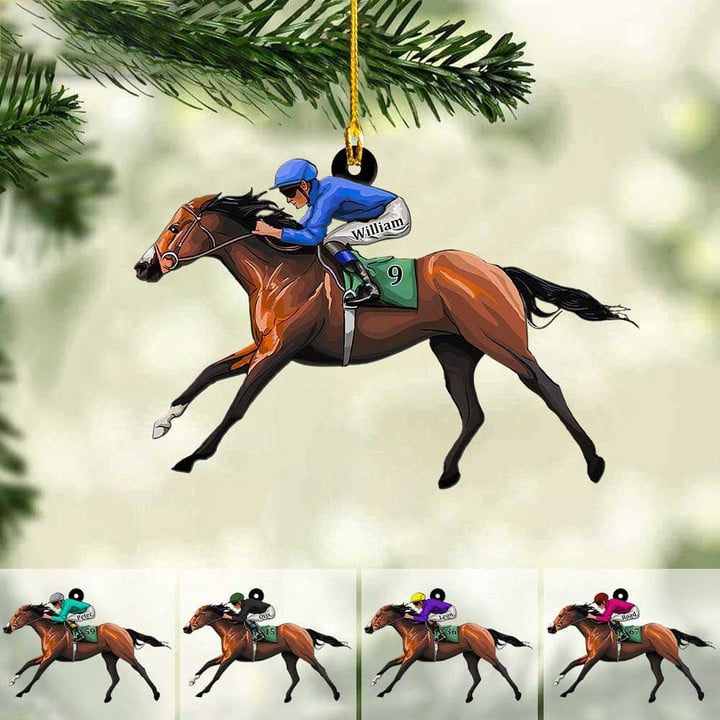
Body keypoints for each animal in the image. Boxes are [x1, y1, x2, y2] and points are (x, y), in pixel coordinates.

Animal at [3, 604, 170, 702]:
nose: (5, 628)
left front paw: (22, 692)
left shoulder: (51, 657)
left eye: (17, 615)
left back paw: (156, 694)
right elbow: (27, 663)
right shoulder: (46, 655)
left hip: (125, 653)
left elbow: (37, 674)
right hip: (109, 657)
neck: (50, 630)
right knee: (115, 677)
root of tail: (123, 629)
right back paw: (107, 697)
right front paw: (13, 680)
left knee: (140, 669)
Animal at [134, 191, 635, 487]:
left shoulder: (280, 350)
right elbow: (209, 371)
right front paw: (164, 420)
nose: (144, 267)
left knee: (547, 386)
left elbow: (238, 404)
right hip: (454, 351)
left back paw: (594, 462)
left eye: (175, 227)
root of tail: (495, 268)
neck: (276, 272)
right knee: (473, 413)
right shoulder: (263, 345)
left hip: (502, 341)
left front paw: (193, 457)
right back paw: (448, 473)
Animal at [183, 604, 349, 701]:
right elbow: (207, 664)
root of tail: (303, 629)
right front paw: (192, 679)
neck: (230, 630)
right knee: (295, 677)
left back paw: (336, 694)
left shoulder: (231, 657)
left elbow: (217, 674)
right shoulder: (225, 655)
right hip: (290, 657)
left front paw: (202, 691)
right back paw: (287, 697)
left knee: (320, 669)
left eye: (196, 615)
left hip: (305, 653)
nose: (186, 628)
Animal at [364, 603, 531, 702]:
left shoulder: (413, 656)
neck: (411, 630)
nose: (367, 628)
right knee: (477, 677)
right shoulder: (407, 655)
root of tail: (484, 629)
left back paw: (517, 694)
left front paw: (384, 692)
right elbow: (389, 663)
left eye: (378, 615)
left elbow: (399, 674)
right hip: (471, 657)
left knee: (502, 669)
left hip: (487, 653)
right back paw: (468, 697)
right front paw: (374, 680)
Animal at [547, 603, 715, 702]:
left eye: (561, 615)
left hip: (669, 653)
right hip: (654, 657)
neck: (594, 630)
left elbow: (582, 674)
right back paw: (651, 697)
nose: (550, 628)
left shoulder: (595, 657)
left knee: (684, 668)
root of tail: (667, 629)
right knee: (660, 677)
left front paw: (566, 692)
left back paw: (700, 694)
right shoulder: (590, 655)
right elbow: (571, 664)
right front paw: (557, 679)